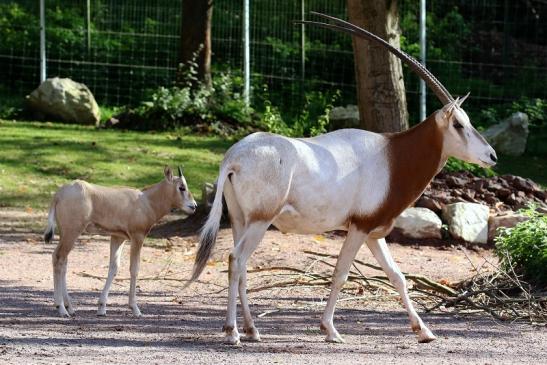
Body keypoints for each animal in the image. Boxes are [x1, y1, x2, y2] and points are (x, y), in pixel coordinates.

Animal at [44, 166, 197, 316]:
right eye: (181, 187)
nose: (194, 206)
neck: (146, 201)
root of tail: (59, 194)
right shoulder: (137, 237)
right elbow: (134, 269)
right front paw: (135, 308)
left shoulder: (118, 237)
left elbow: (113, 267)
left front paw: (102, 308)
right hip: (72, 232)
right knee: (58, 257)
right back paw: (61, 308)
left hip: (67, 233)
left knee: (63, 261)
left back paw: (69, 307)